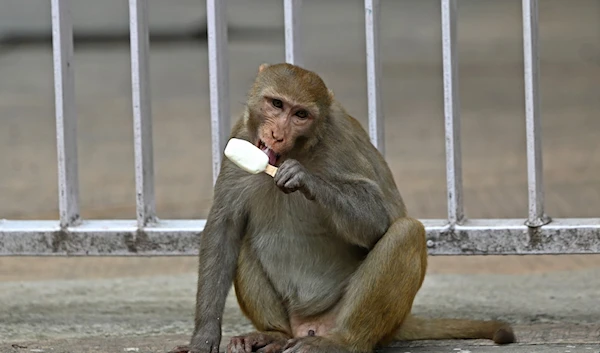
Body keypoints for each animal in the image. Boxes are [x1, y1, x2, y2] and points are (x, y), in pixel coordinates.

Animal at [170, 63, 516, 352]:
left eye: (300, 115)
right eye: (276, 104)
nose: (276, 134)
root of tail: (308, 324)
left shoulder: (341, 141)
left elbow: (379, 218)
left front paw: (305, 179)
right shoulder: (240, 136)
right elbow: (224, 228)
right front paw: (203, 337)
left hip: (352, 318)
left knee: (406, 232)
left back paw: (344, 341)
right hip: (293, 319)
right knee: (240, 241)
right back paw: (273, 335)